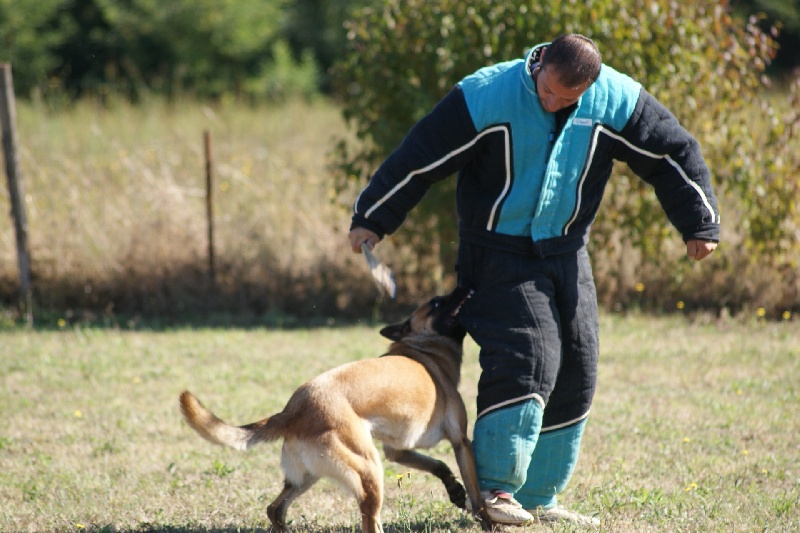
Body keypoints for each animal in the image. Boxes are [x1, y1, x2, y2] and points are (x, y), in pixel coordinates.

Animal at [180, 288, 494, 528]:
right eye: (438, 303)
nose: (462, 285)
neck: (425, 346)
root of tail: (293, 409)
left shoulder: (398, 451)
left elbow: (439, 465)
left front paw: (455, 491)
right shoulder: (460, 441)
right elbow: (477, 495)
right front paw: (486, 521)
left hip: (308, 475)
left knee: (275, 509)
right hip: (369, 470)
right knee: (369, 521)